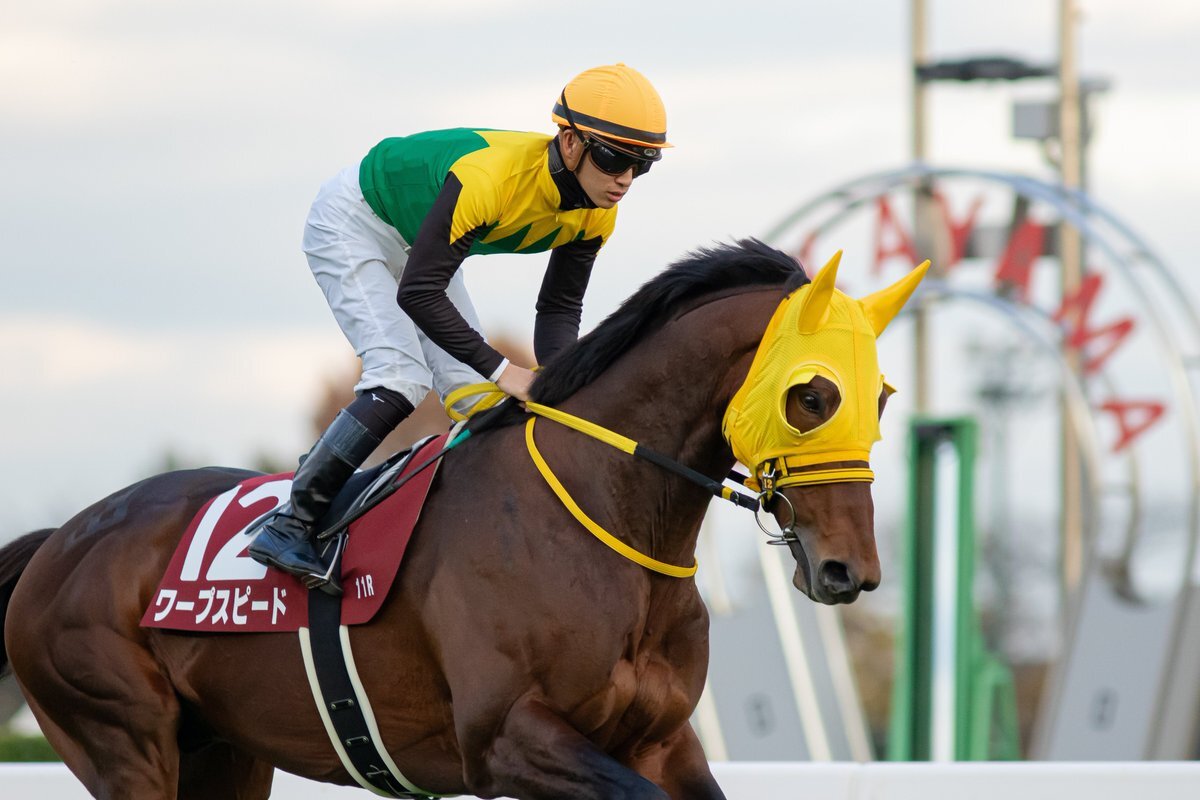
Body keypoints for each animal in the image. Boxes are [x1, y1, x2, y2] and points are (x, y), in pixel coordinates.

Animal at [0, 239, 925, 799]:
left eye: (881, 396)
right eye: (812, 396)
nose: (849, 570)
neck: (603, 520)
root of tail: (60, 543)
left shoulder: (664, 741)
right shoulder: (505, 738)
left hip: (224, 753)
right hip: (122, 737)